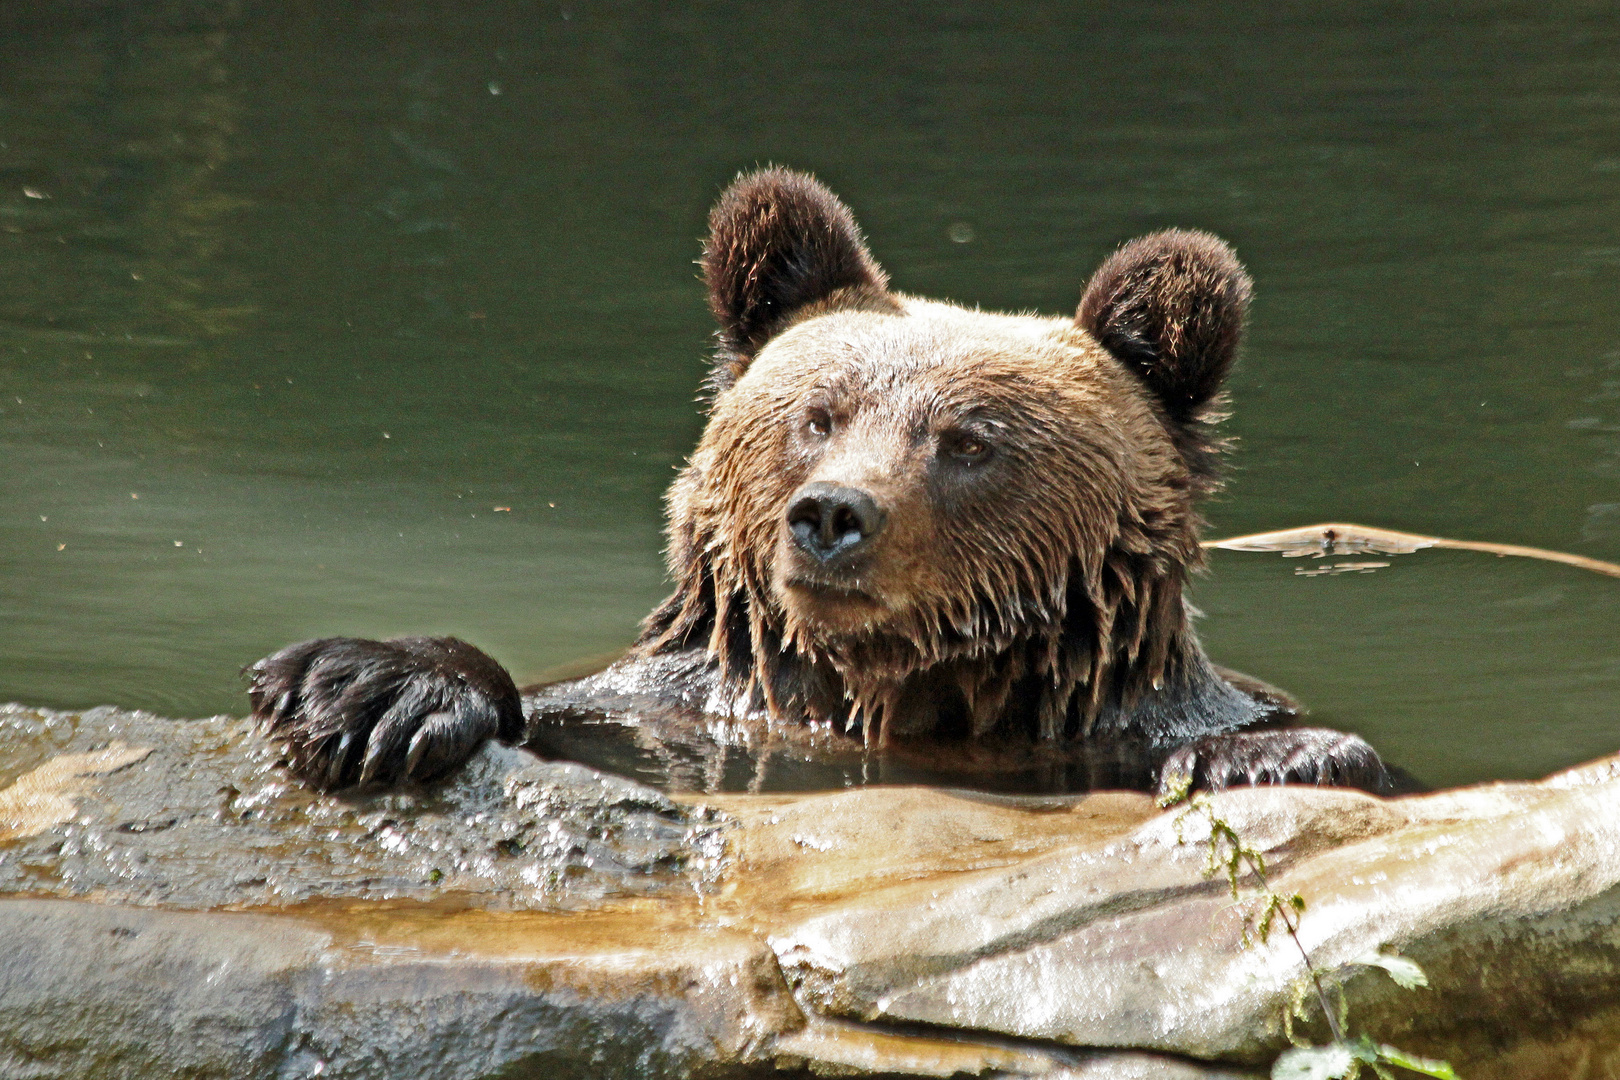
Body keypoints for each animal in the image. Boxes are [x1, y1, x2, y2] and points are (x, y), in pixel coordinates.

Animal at [252, 166, 1393, 793]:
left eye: (968, 441)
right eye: (819, 415)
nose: (833, 515)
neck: (889, 690)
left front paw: (1269, 763)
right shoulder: (666, 705)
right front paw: (363, 688)